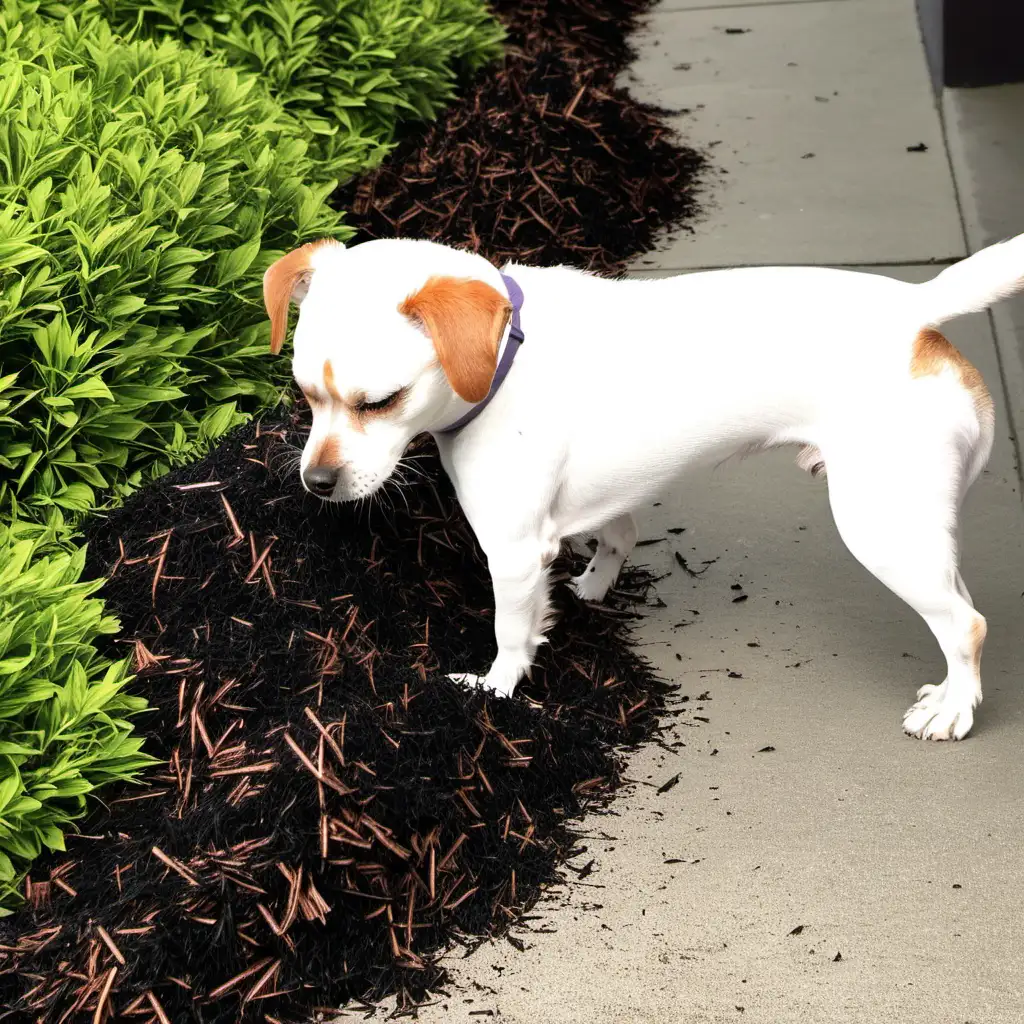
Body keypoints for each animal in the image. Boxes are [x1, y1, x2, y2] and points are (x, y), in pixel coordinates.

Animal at [262, 235, 1024, 741]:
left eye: (379, 402)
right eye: (304, 394)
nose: (317, 482)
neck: (506, 354)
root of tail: (914, 310)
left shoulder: (513, 554)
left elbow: (511, 633)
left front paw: (495, 693)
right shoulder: (600, 504)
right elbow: (617, 533)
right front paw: (596, 586)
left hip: (884, 532)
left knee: (965, 622)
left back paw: (954, 709)